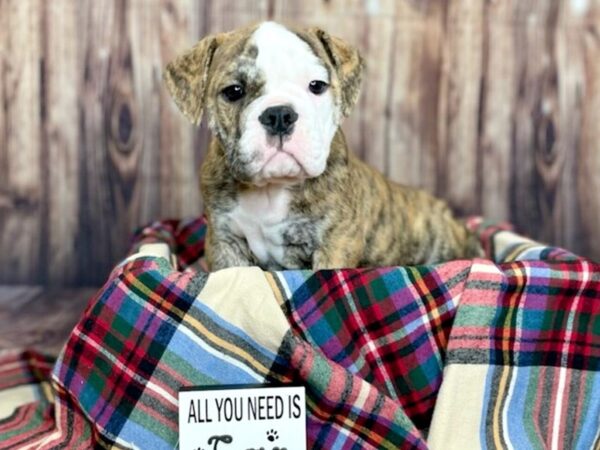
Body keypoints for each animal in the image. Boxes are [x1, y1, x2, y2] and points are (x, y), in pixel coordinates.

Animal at [164, 22, 482, 270]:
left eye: (317, 85)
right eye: (234, 91)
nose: (279, 115)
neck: (273, 188)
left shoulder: (335, 243)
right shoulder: (224, 243)